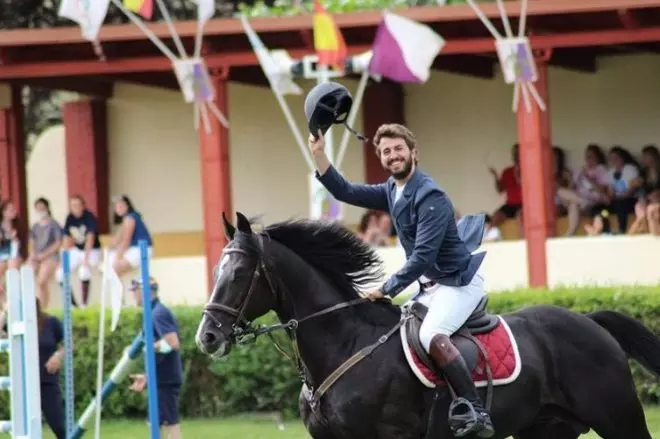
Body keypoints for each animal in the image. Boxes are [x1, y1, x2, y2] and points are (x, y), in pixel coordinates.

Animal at [196, 211, 660, 438]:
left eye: (239, 273)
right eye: (216, 270)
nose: (207, 337)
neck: (346, 344)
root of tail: (589, 321)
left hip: (618, 418)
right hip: (546, 429)